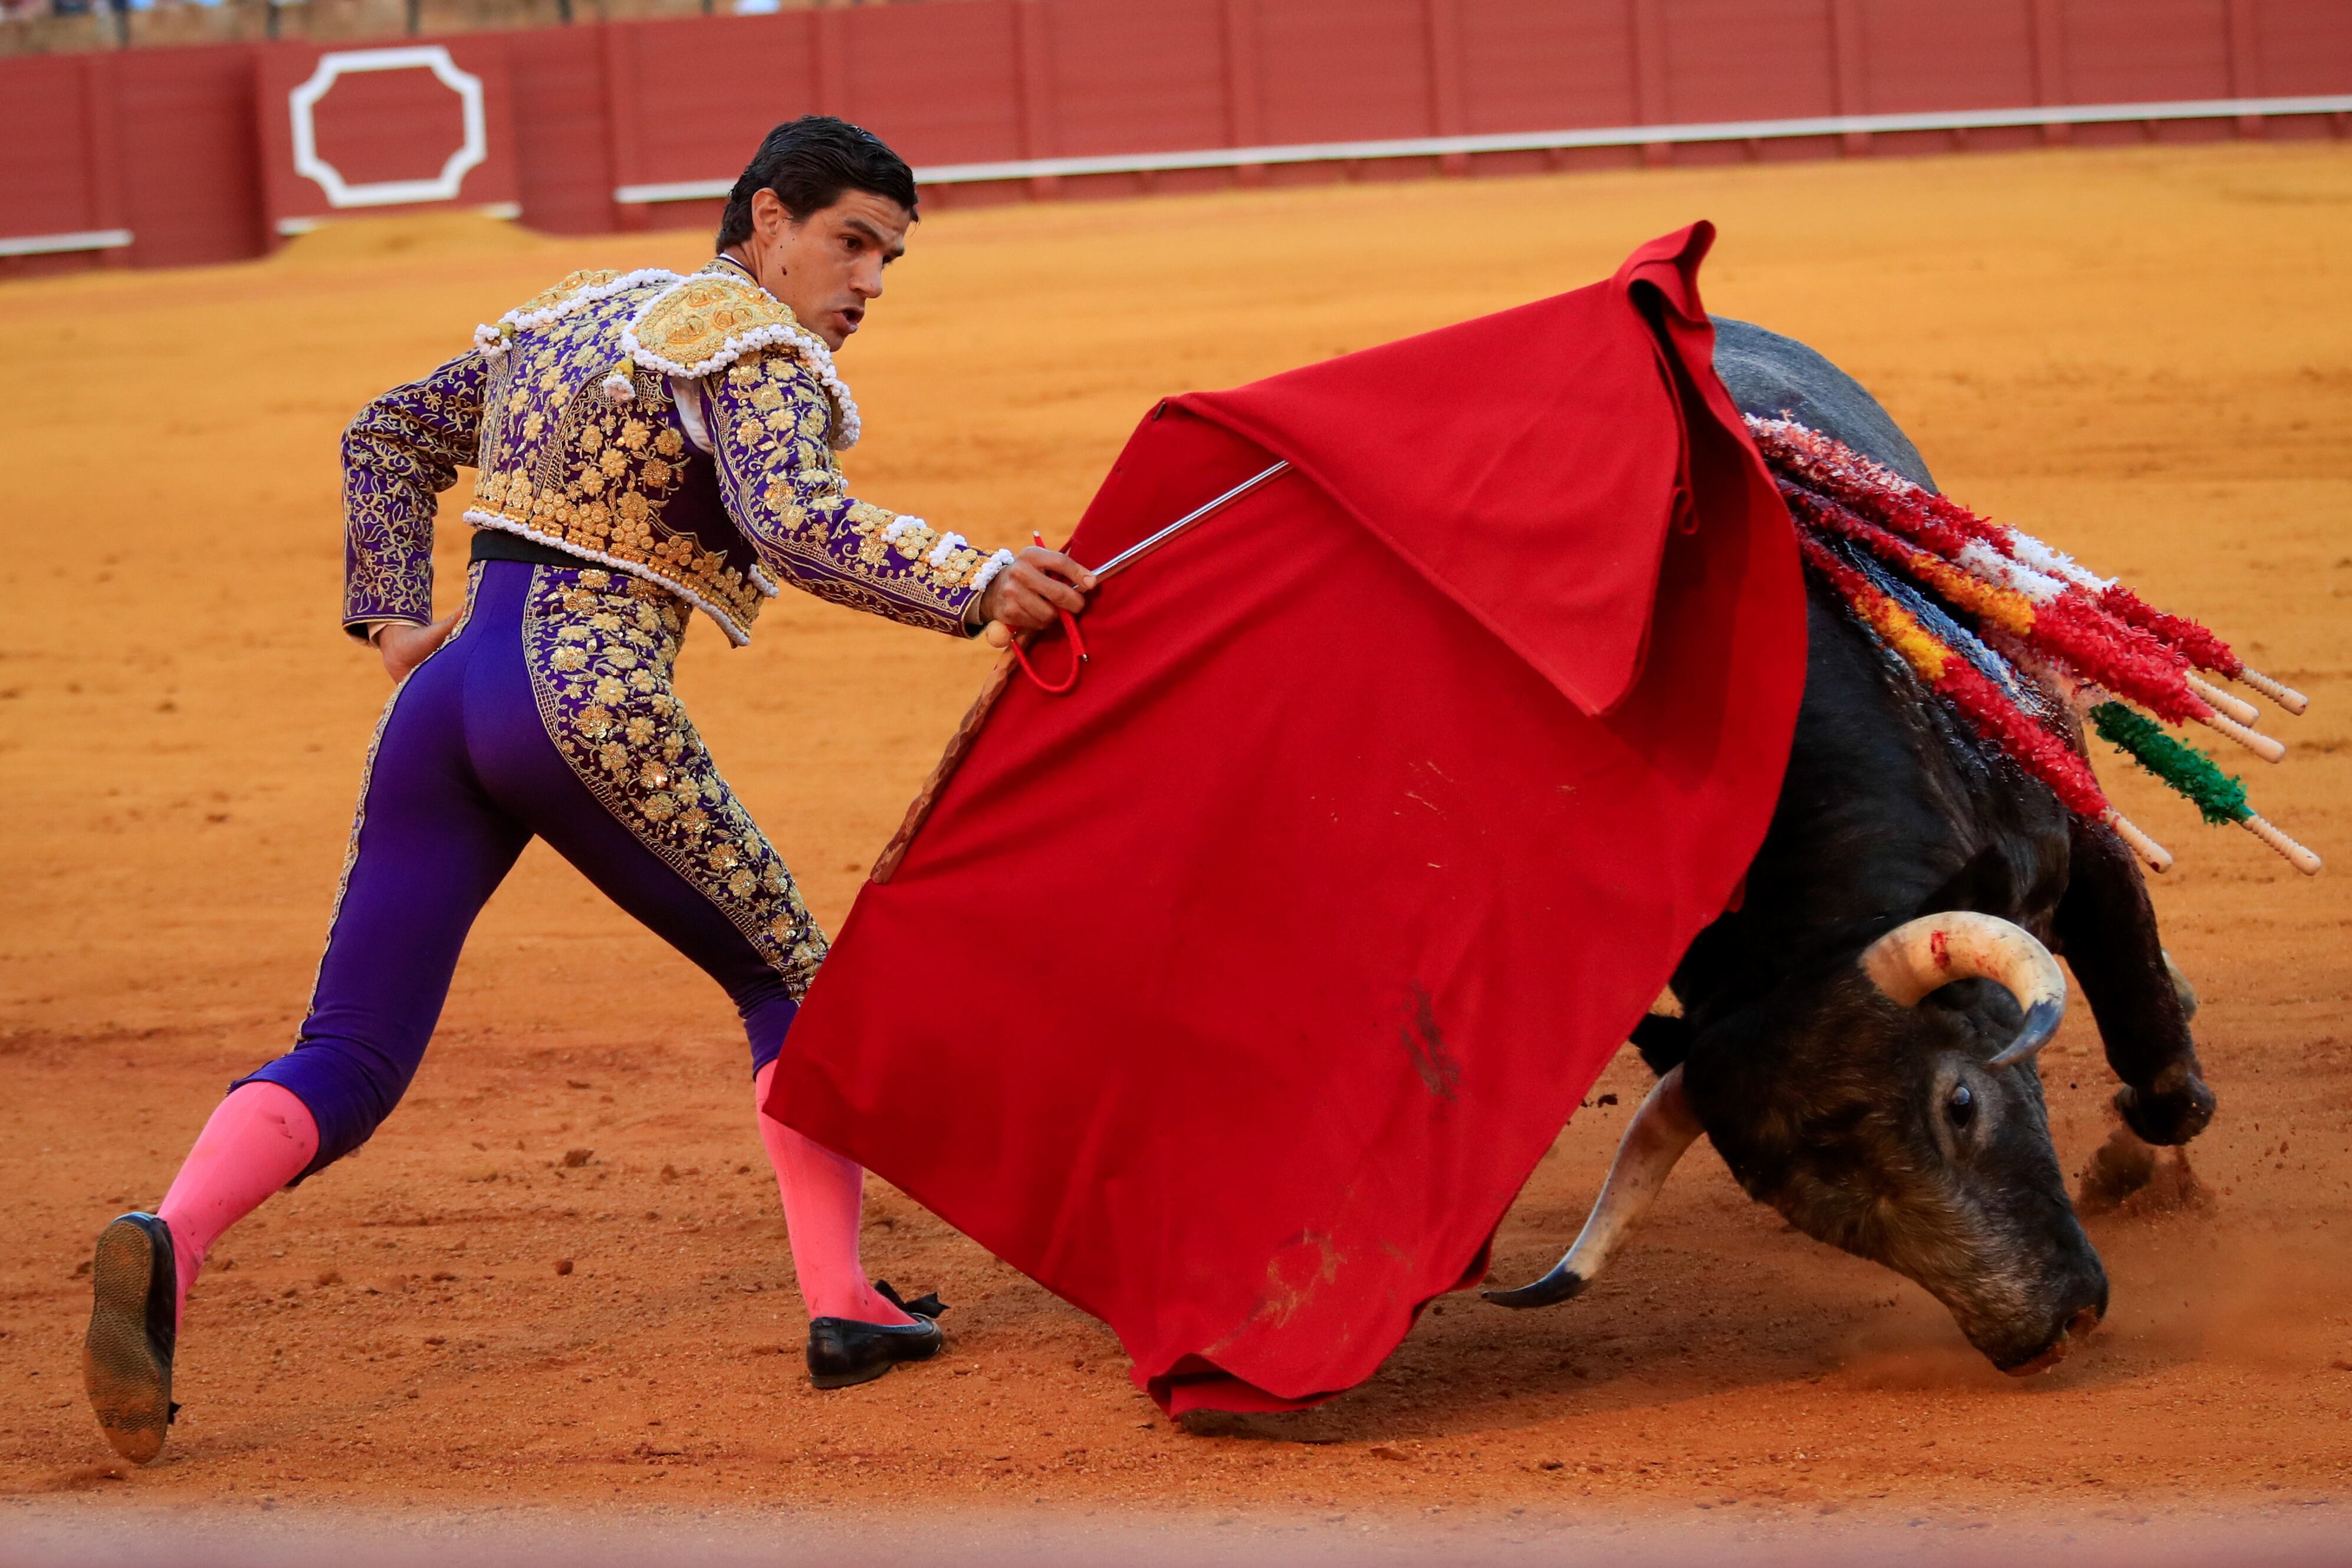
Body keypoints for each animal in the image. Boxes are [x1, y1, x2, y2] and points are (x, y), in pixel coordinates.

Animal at [1496, 320, 2210, 1373]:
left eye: (1961, 1103)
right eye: (1809, 1209)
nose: (2043, 1332)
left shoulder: (2078, 835)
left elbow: (2144, 1024)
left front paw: (2140, 1141)